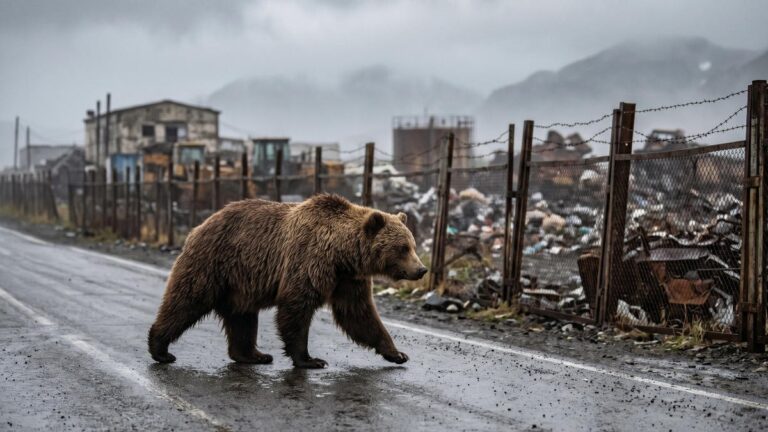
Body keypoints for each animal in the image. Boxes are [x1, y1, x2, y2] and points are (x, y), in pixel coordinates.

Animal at [148, 194, 427, 368]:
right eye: (402, 248)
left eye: (412, 245)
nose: (422, 269)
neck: (342, 254)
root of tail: (199, 226)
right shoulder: (309, 261)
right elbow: (296, 307)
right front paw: (311, 360)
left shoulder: (348, 279)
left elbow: (359, 315)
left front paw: (397, 353)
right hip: (214, 263)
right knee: (186, 300)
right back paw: (161, 349)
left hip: (239, 283)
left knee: (242, 317)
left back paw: (253, 355)